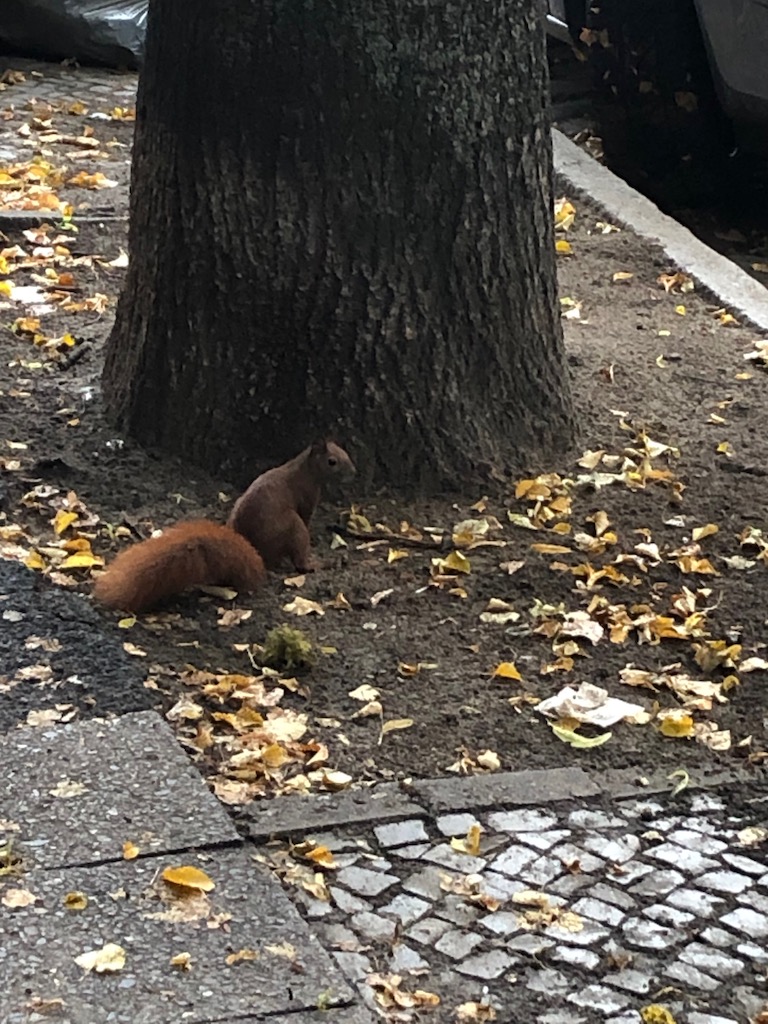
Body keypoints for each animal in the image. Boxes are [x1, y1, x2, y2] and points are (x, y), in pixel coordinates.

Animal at [93, 440, 355, 612]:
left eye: (345, 452)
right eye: (332, 461)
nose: (354, 471)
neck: (304, 469)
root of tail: (257, 553)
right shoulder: (306, 499)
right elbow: (308, 518)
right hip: (293, 526)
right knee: (299, 556)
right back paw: (314, 564)